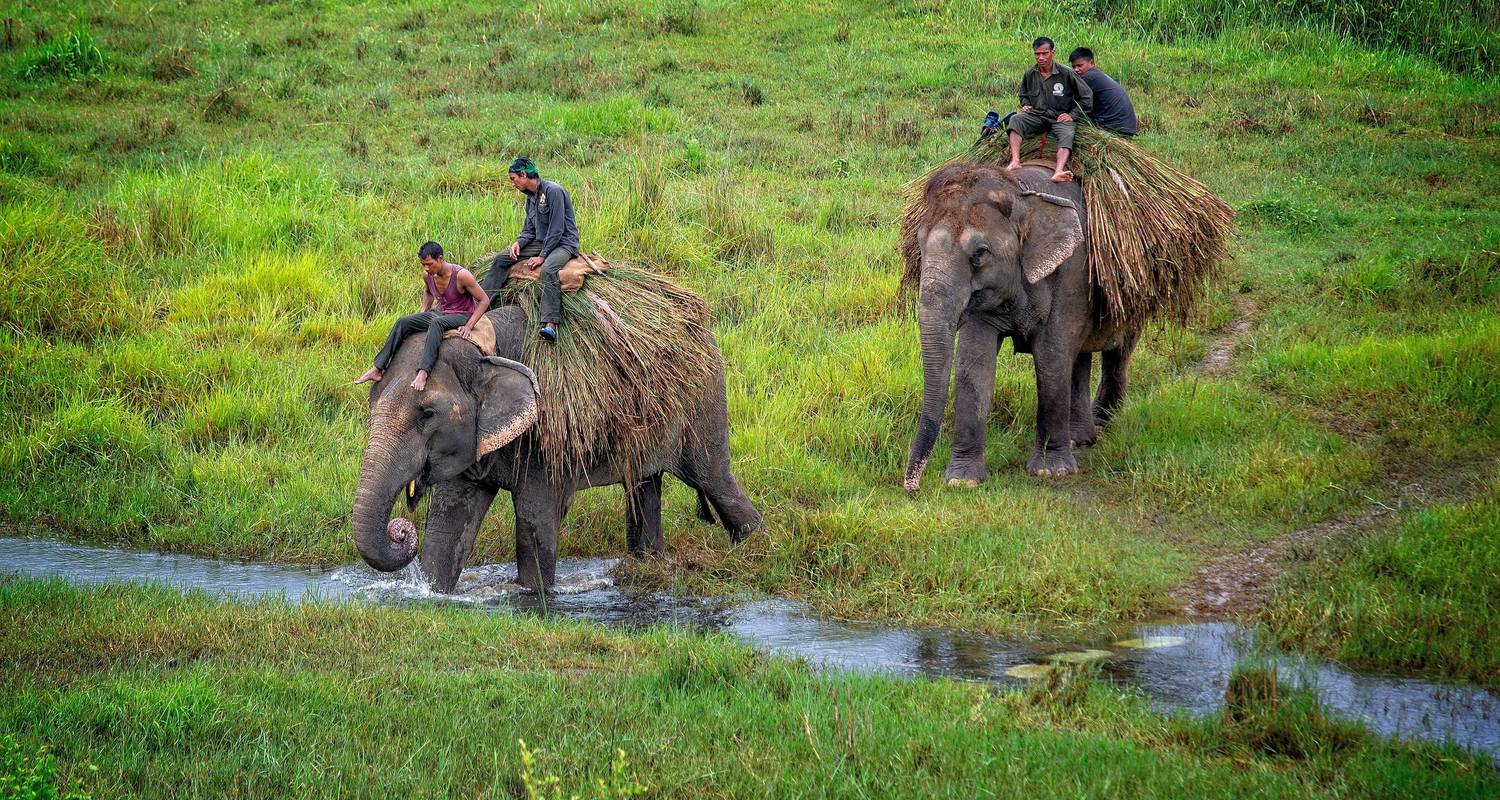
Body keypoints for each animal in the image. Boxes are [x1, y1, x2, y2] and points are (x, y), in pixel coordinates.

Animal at [351, 303, 762, 588]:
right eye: (371, 400)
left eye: (427, 413)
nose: (400, 531)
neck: (485, 348)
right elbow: (448, 523)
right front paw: (434, 594)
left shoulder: (546, 431)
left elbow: (534, 522)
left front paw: (536, 596)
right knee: (645, 487)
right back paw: (645, 567)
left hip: (704, 398)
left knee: (713, 479)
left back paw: (755, 546)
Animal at [900, 161, 1134, 486]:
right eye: (919, 246)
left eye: (980, 253)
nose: (912, 486)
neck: (1020, 193)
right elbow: (973, 364)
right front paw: (963, 480)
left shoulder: (1073, 270)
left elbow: (1051, 356)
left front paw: (1051, 471)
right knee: (1079, 357)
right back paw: (1080, 439)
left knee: (1117, 347)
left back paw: (1100, 422)